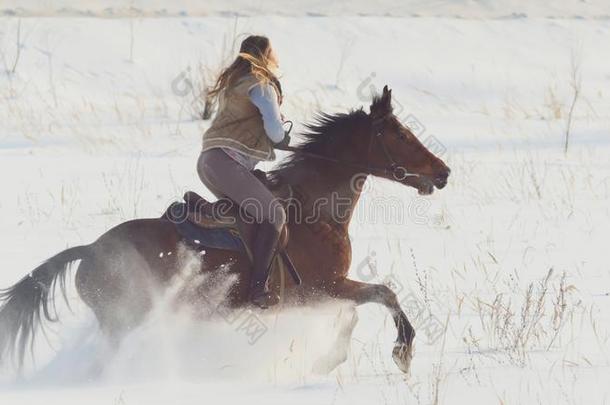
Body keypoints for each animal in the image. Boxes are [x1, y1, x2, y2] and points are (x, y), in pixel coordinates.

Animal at [0, 84, 446, 372]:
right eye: (400, 134)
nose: (443, 172)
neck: (314, 211)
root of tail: (90, 249)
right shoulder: (323, 287)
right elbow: (384, 294)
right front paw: (402, 352)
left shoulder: (324, 292)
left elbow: (357, 311)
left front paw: (329, 360)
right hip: (122, 320)